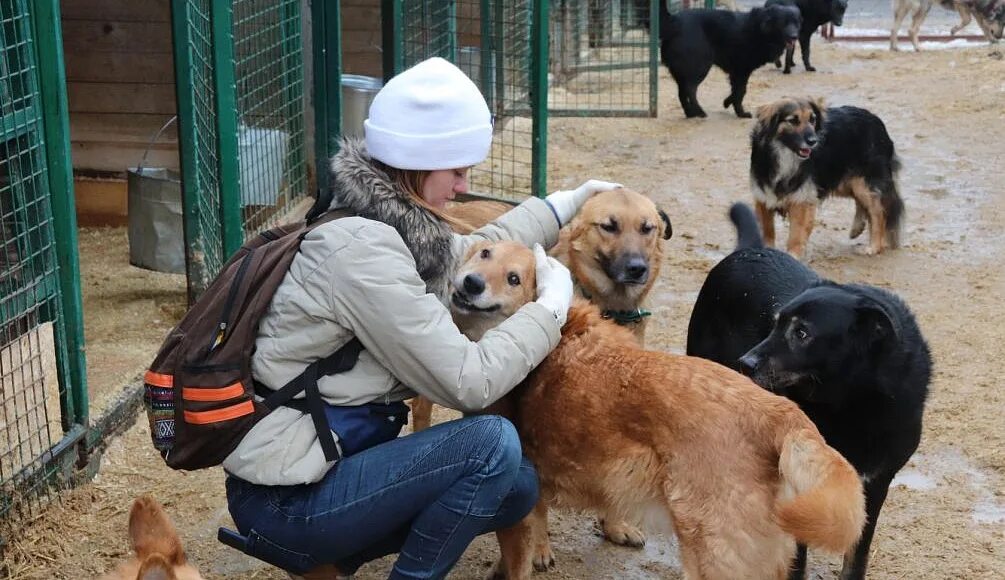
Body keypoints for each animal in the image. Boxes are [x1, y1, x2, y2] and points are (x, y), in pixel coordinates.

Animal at [687, 202, 928, 578]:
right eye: (775, 324)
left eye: (801, 333)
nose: (746, 363)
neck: (853, 403)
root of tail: (748, 250)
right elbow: (797, 556)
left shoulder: (876, 483)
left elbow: (856, 555)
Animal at [751, 97, 908, 257]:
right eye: (793, 120)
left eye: (812, 120)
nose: (813, 141)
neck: (785, 155)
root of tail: (875, 119)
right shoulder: (763, 198)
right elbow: (766, 231)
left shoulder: (802, 200)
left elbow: (796, 235)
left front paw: (793, 256)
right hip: (842, 182)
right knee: (861, 202)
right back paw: (857, 228)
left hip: (862, 183)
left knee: (878, 212)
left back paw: (874, 246)